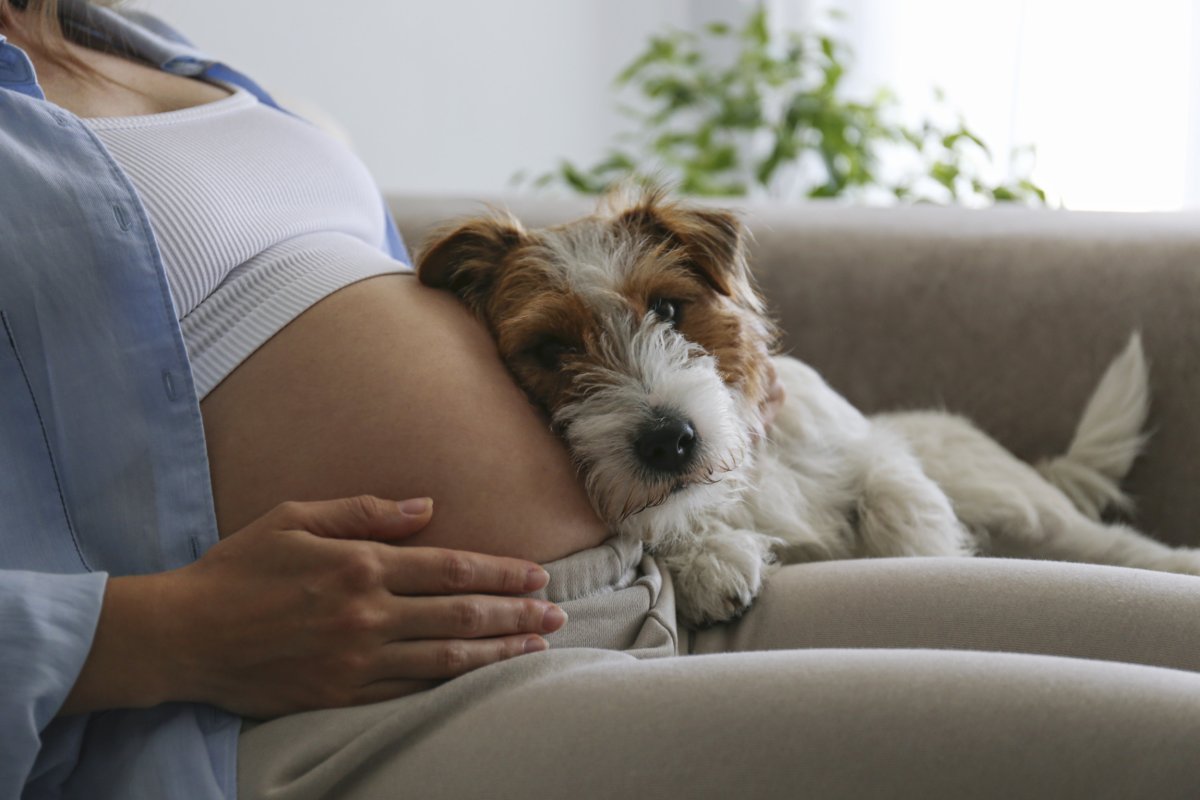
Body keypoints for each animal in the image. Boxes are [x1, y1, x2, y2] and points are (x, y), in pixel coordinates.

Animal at [415, 185, 1200, 623]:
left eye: (667, 308)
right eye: (550, 350)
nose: (670, 440)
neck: (747, 480)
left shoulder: (870, 453)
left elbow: (895, 503)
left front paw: (918, 555)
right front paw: (707, 558)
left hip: (1030, 513)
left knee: (1121, 547)